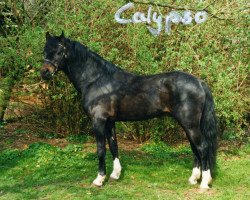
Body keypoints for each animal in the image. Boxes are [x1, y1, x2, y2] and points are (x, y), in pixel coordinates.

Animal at [41, 32, 217, 188]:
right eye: (44, 51)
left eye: (59, 51)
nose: (44, 72)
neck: (96, 80)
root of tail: (199, 82)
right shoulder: (109, 122)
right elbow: (113, 146)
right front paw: (115, 174)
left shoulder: (98, 121)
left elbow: (101, 149)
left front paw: (99, 179)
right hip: (188, 125)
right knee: (195, 148)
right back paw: (194, 179)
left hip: (190, 124)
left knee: (202, 147)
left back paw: (204, 183)